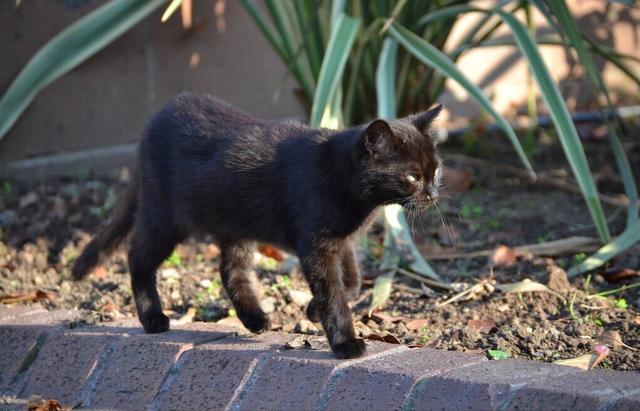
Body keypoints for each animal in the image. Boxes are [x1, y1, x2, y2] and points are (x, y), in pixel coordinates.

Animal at [70, 94, 440, 360]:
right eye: (412, 177)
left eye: (435, 170)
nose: (433, 194)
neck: (342, 177)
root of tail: (154, 121)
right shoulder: (316, 246)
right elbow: (332, 292)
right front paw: (345, 343)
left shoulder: (341, 241)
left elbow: (351, 281)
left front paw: (311, 309)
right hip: (164, 215)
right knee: (138, 257)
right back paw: (153, 318)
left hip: (235, 223)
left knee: (230, 268)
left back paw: (255, 318)